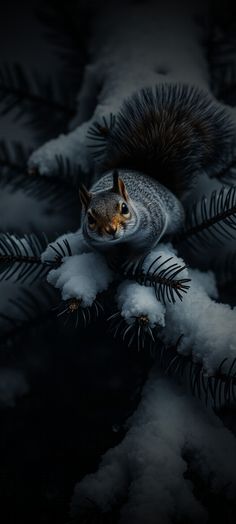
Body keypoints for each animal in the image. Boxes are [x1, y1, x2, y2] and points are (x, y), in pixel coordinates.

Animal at [79, 83, 234, 256]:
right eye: (90, 219)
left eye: (124, 208)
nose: (111, 230)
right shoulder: (95, 242)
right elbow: (106, 252)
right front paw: (113, 258)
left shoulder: (154, 221)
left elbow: (145, 246)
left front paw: (134, 258)